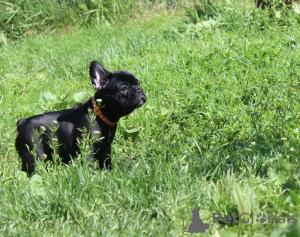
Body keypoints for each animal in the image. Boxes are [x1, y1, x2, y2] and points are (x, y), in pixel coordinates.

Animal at [15, 61, 146, 174]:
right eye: (124, 88)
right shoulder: (86, 150)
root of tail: (23, 122)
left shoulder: (106, 149)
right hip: (34, 155)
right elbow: (89, 166)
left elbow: (106, 163)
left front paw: (109, 175)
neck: (100, 115)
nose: (139, 90)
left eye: (138, 83)